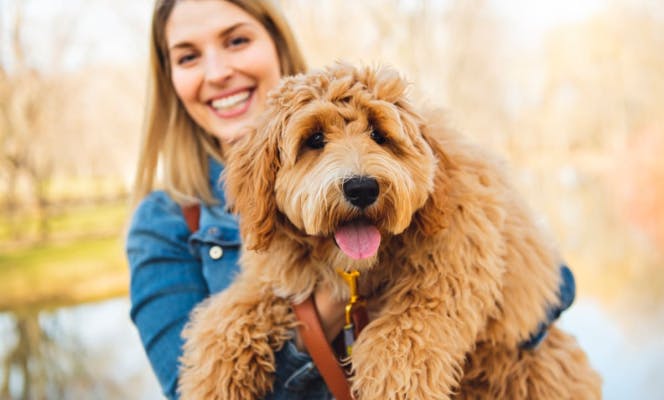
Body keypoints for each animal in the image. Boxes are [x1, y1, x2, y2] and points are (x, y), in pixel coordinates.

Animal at [178, 64, 600, 398]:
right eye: (314, 139)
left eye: (379, 135)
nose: (362, 188)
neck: (356, 270)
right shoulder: (284, 277)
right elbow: (228, 317)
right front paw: (210, 380)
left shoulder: (450, 272)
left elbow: (398, 344)